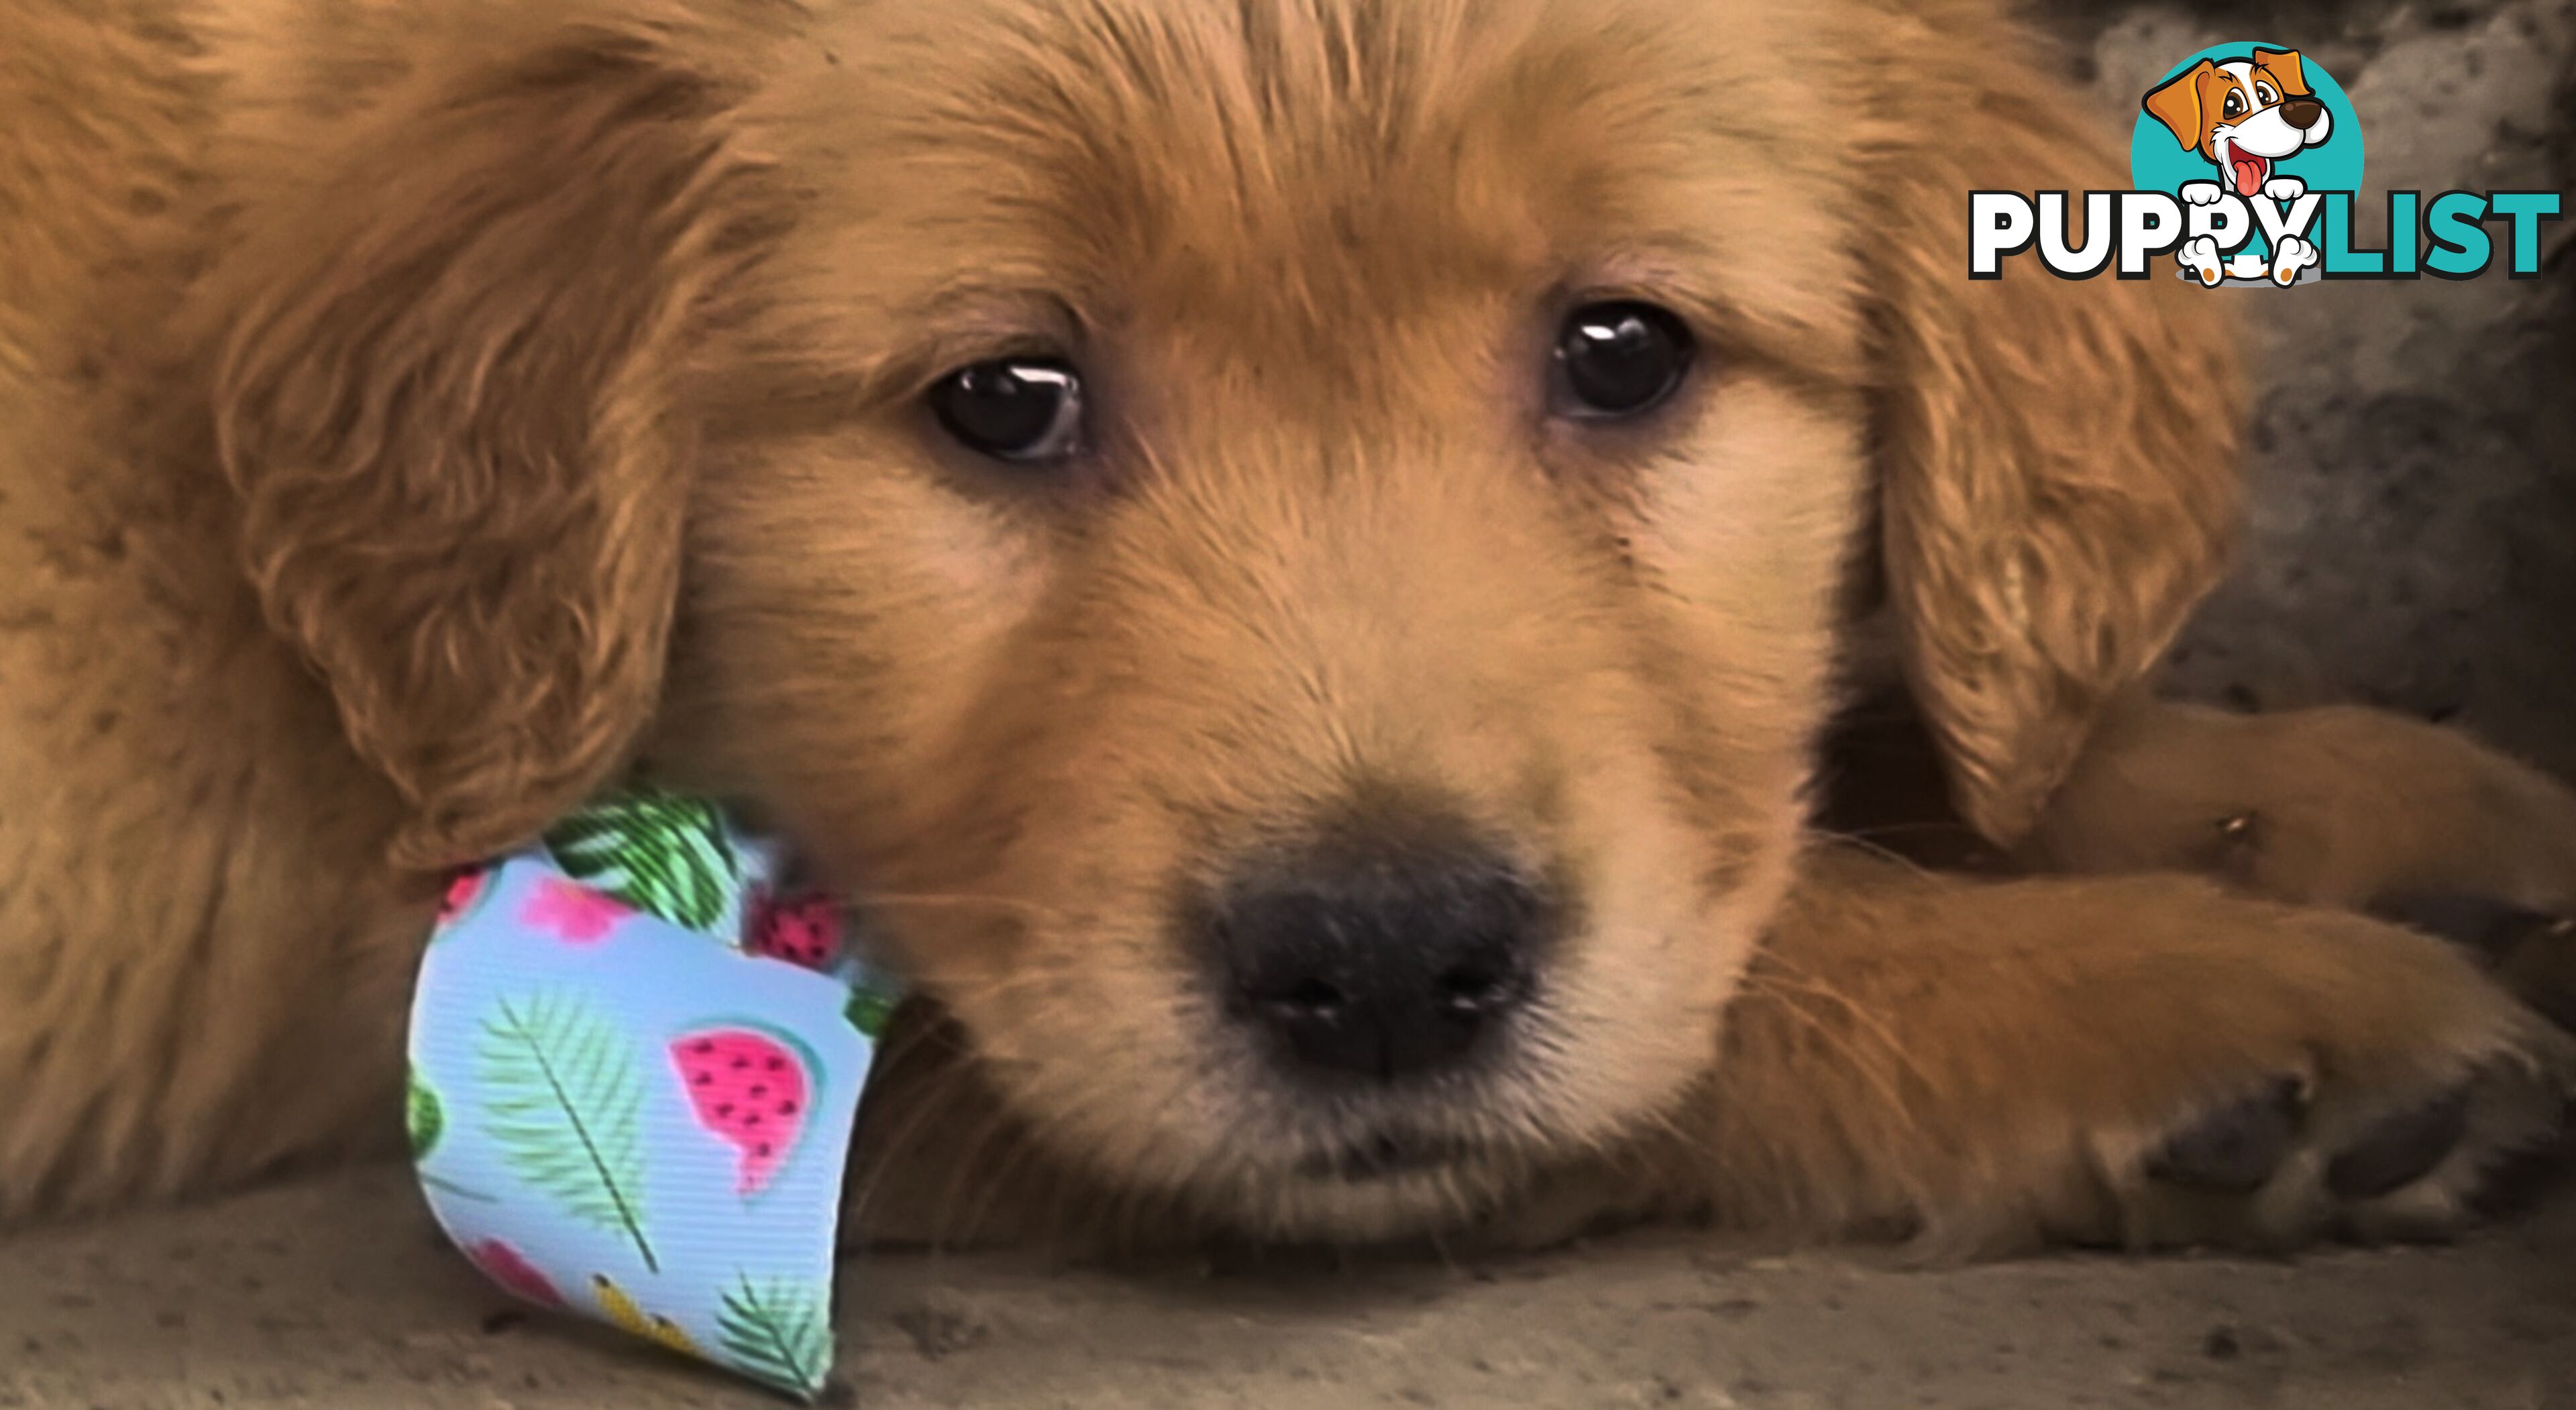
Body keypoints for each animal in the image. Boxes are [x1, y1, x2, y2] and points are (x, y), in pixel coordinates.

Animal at [5, 0, 2576, 1258]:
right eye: (1001, 398)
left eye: (1624, 351)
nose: (1387, 967)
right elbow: (1772, 955)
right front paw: (2197, 980)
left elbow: (1820, 767)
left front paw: (2311, 793)